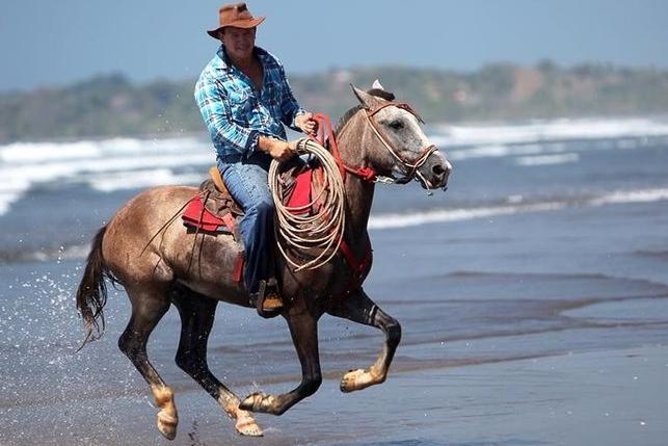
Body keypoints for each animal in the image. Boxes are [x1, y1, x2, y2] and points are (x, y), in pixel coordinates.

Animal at [75, 81, 452, 440]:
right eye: (395, 124)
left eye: (416, 122)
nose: (440, 169)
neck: (333, 214)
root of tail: (114, 223)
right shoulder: (300, 311)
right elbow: (312, 378)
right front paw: (263, 401)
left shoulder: (343, 299)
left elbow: (393, 329)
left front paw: (355, 378)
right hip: (150, 294)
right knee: (133, 344)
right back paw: (170, 415)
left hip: (197, 299)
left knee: (190, 357)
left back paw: (242, 417)